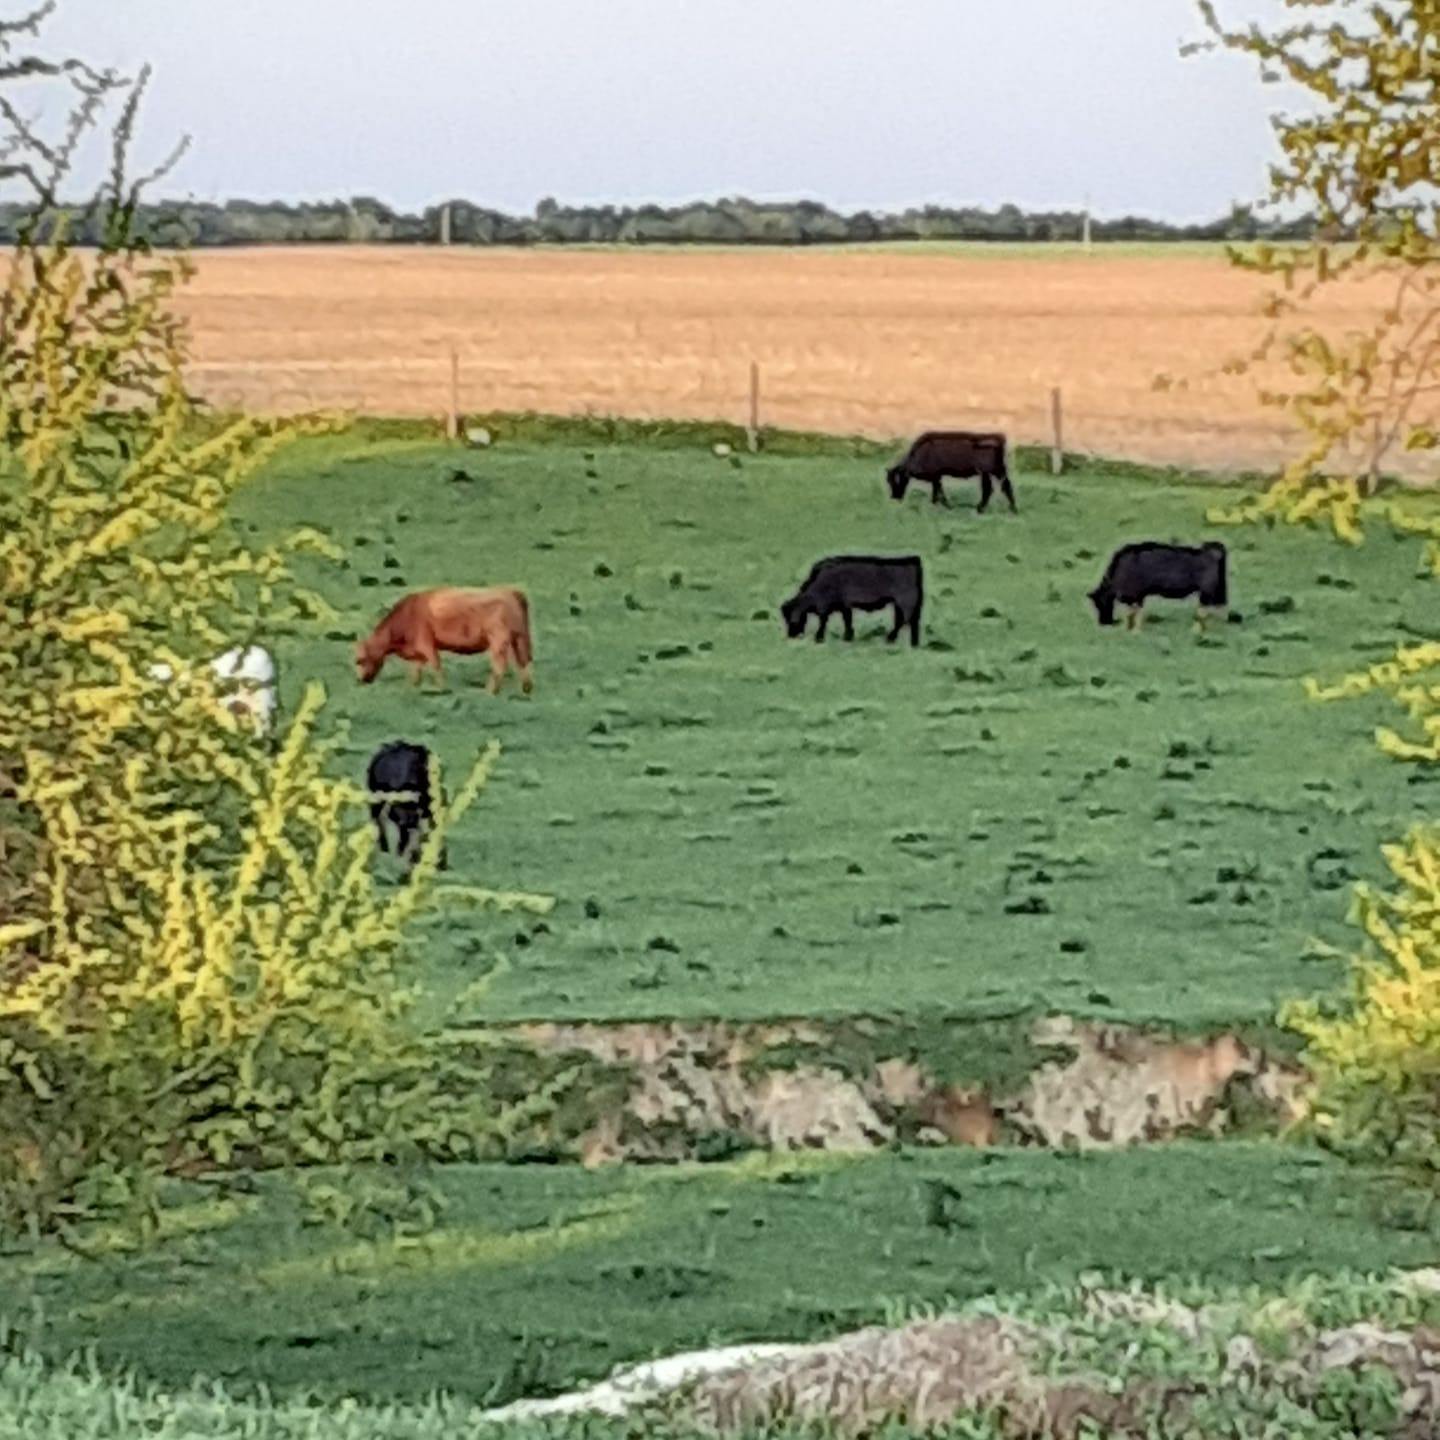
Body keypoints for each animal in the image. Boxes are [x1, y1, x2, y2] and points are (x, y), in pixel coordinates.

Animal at [355, 586, 534, 693]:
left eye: (360, 660)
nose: (361, 680)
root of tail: (510, 591)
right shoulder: (418, 651)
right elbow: (416, 670)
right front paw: (413, 687)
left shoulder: (426, 644)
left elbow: (436, 666)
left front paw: (441, 689)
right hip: (519, 639)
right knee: (523, 662)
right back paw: (526, 690)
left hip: (498, 641)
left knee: (500, 666)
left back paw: (489, 692)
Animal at [781, 555, 924, 647]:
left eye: (791, 620)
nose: (790, 635)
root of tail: (912, 560)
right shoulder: (843, 606)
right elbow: (846, 621)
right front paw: (848, 637)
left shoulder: (833, 606)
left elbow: (826, 621)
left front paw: (819, 638)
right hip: (904, 606)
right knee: (911, 623)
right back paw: (913, 644)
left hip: (905, 603)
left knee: (903, 621)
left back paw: (890, 639)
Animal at [886, 431, 1016, 512]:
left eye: (896, 481)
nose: (894, 497)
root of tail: (999, 438)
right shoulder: (937, 477)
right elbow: (938, 493)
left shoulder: (935, 476)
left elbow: (938, 494)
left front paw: (943, 506)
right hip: (997, 471)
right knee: (1005, 486)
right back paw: (1012, 509)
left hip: (987, 471)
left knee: (989, 489)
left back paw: (981, 509)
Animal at [1088, 541, 1229, 630]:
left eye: (1099, 603)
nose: (1103, 623)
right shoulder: (1137, 596)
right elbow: (1132, 613)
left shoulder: (1135, 594)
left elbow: (1134, 613)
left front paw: (1135, 631)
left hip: (1207, 592)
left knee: (1203, 611)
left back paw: (1196, 630)